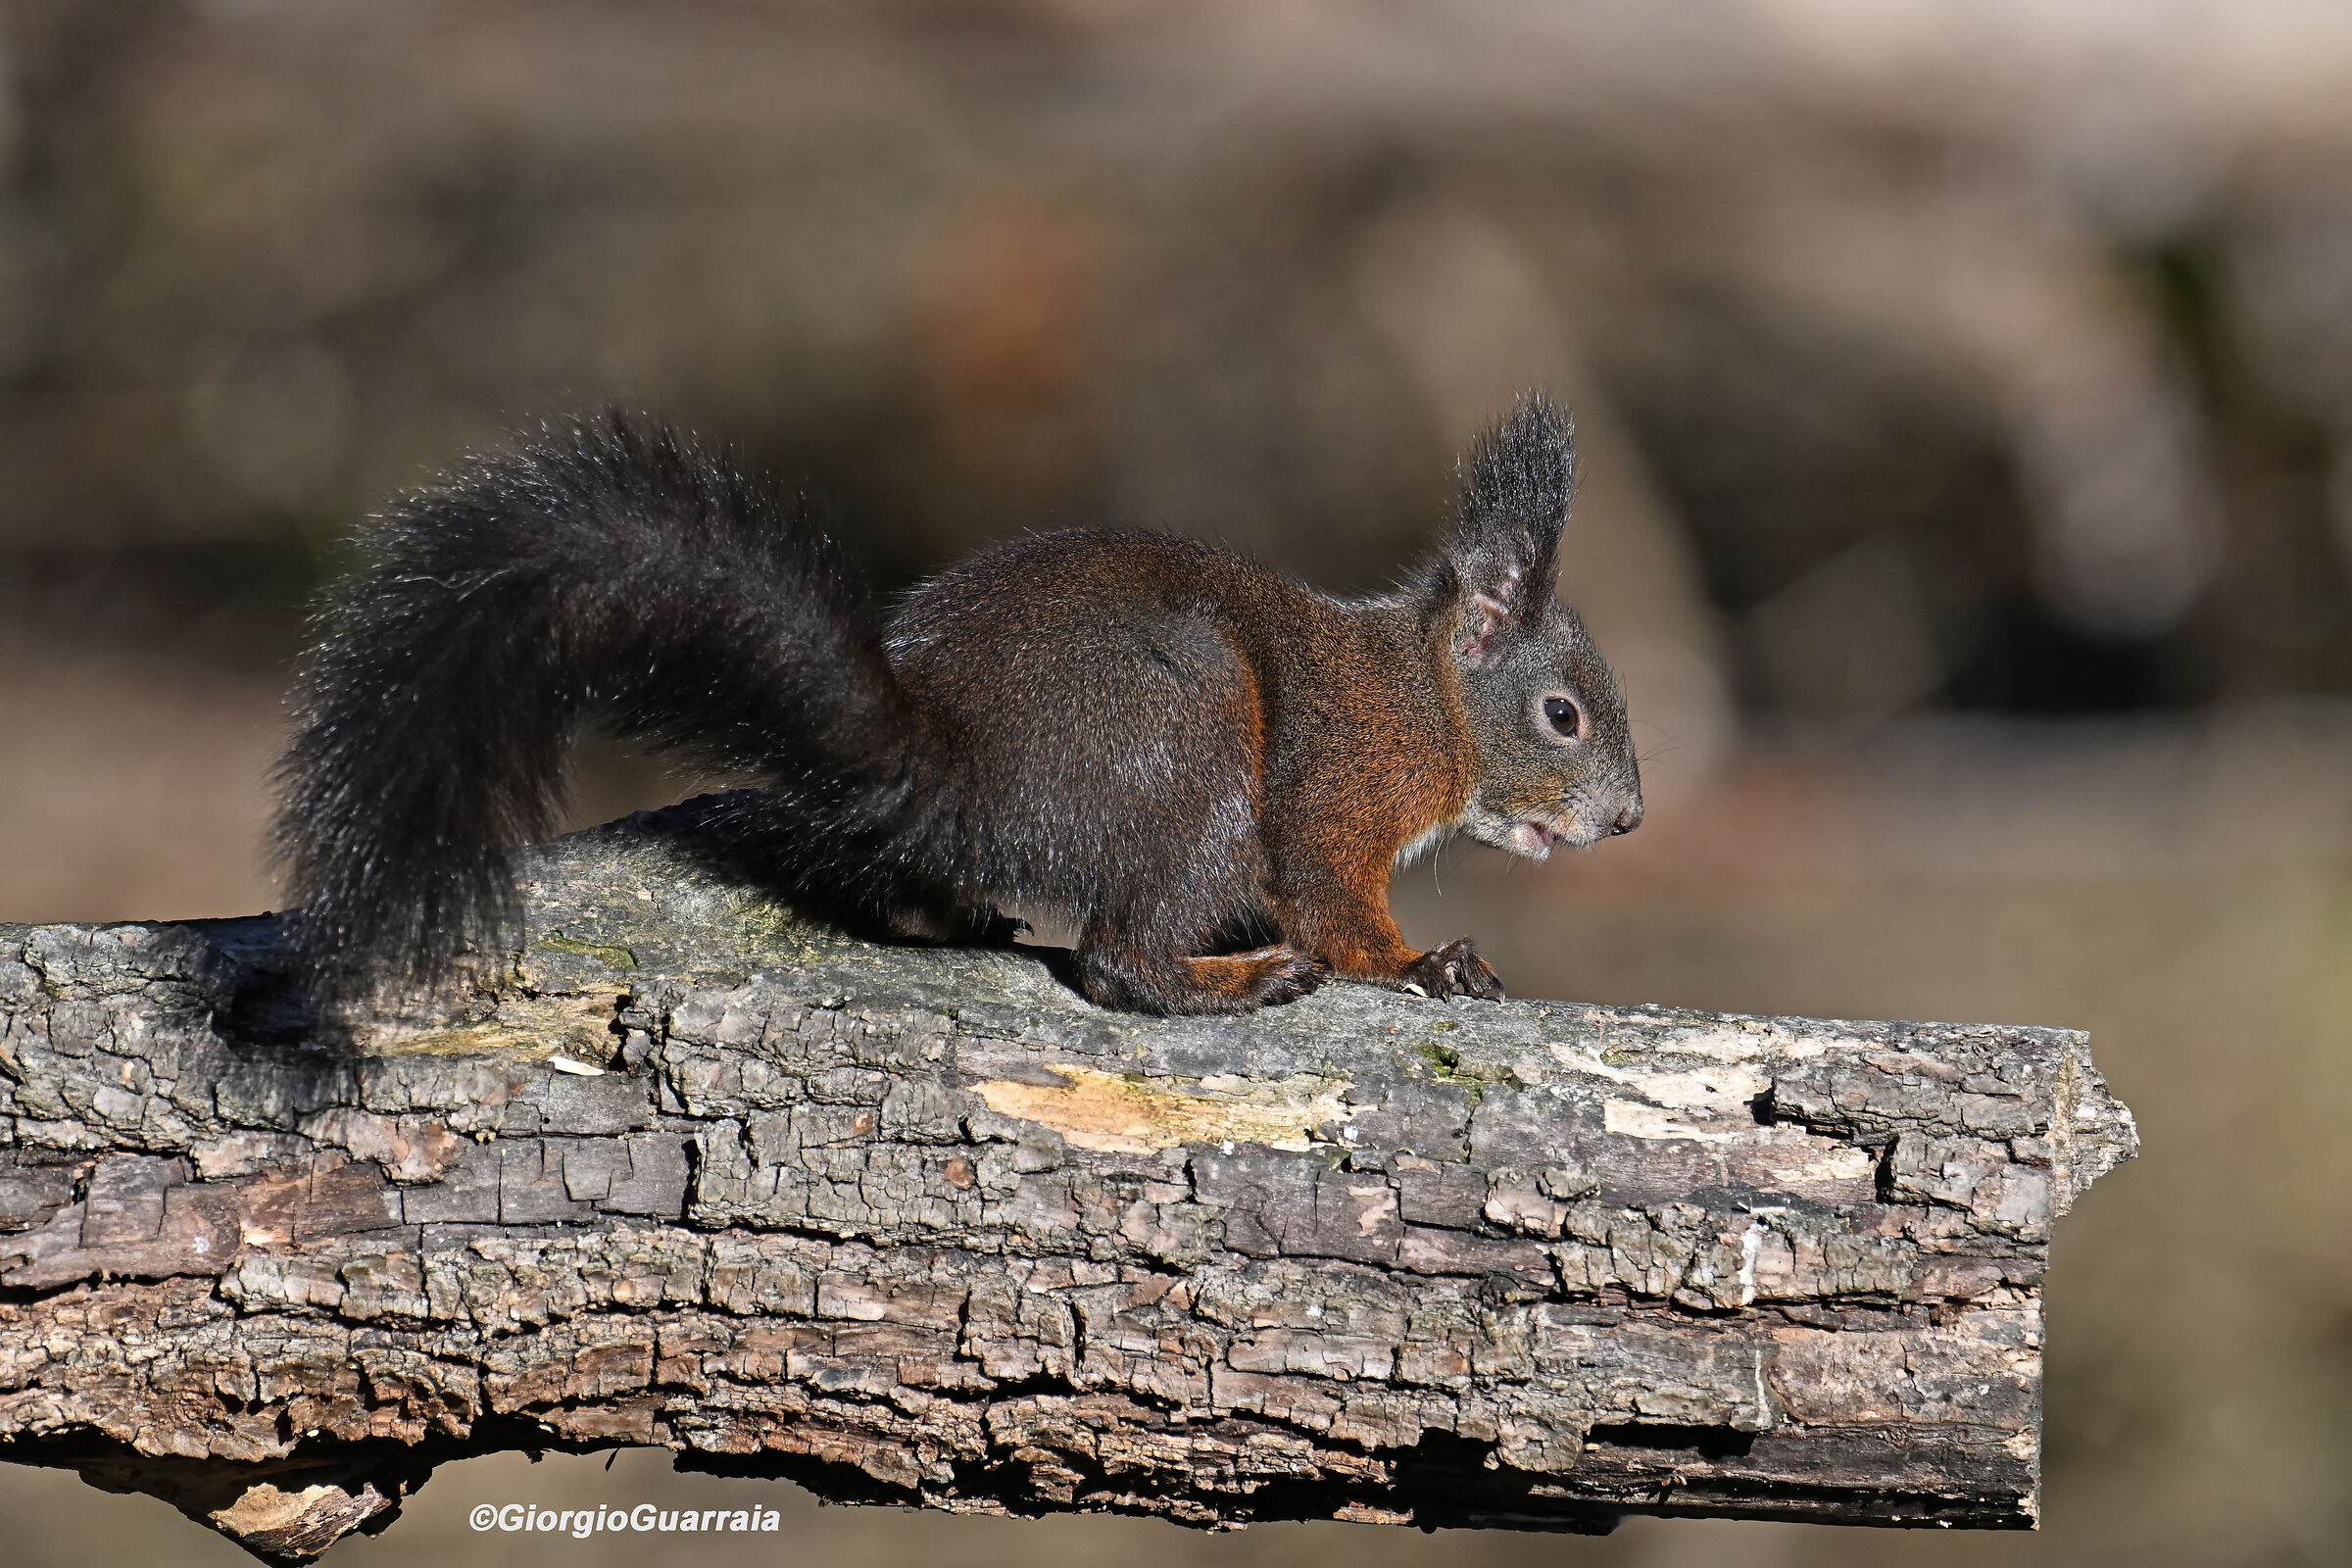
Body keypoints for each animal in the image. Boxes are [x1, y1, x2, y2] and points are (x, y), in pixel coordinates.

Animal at [272, 391, 1643, 1017]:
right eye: (1563, 715)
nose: (1626, 822)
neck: (1429, 699)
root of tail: (946, 762)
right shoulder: (1345, 781)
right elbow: (1328, 896)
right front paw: (1424, 962)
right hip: (1190, 744)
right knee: (1120, 961)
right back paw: (1235, 980)